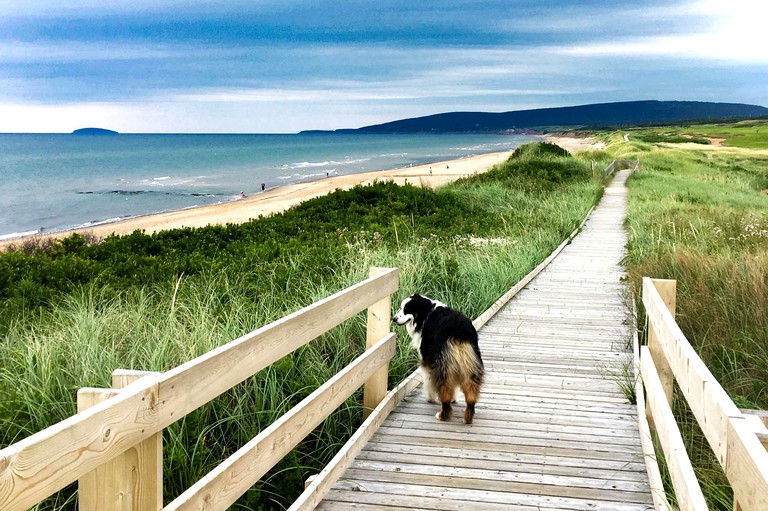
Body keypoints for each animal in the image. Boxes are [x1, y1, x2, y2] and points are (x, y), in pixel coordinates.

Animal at [392, 294, 484, 426]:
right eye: (401, 307)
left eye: (406, 309)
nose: (393, 319)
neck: (426, 312)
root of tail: (459, 331)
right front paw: (454, 399)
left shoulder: (427, 359)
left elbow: (428, 379)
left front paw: (430, 398)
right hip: (471, 364)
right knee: (471, 394)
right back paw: (468, 417)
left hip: (442, 365)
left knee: (445, 389)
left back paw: (442, 415)